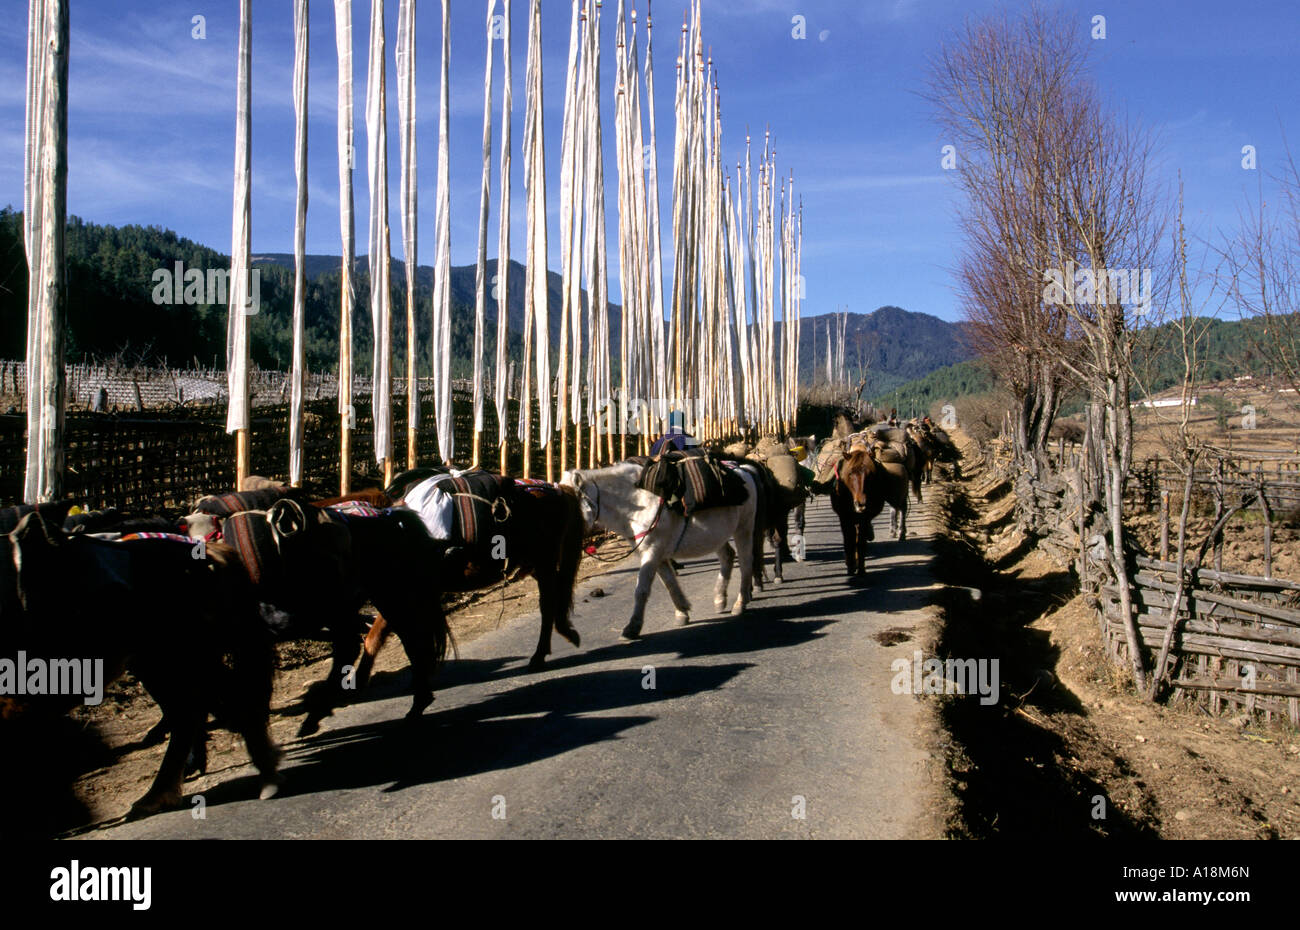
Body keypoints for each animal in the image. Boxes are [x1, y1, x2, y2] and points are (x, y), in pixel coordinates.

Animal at [561, 457, 759, 639]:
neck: (638, 504)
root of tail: (744, 470)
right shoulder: (658, 555)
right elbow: (669, 582)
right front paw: (682, 612)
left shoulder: (651, 552)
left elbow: (641, 590)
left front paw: (632, 627)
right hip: (718, 537)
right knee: (727, 556)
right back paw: (720, 599)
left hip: (744, 529)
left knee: (746, 563)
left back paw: (740, 603)